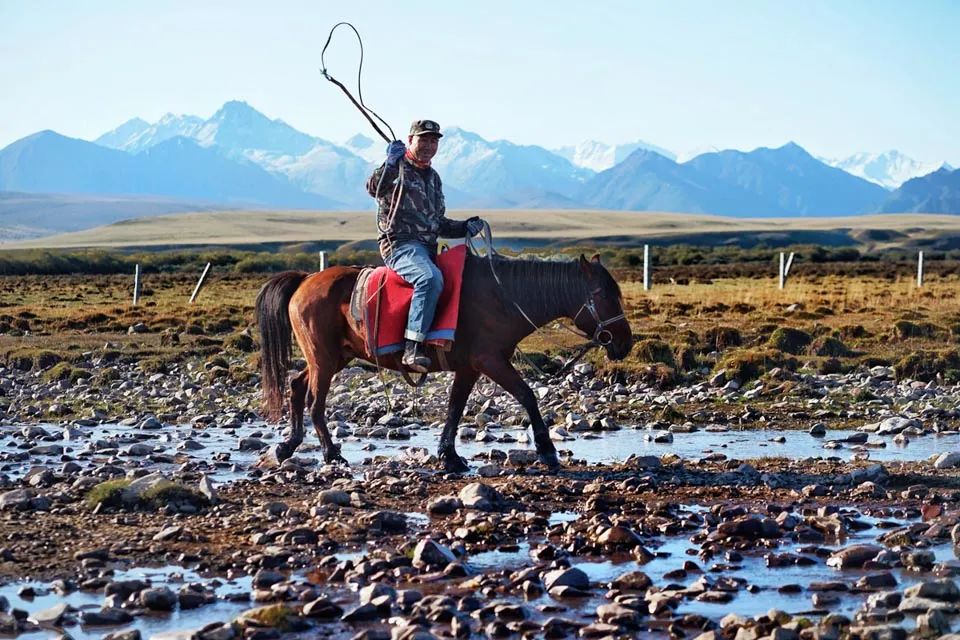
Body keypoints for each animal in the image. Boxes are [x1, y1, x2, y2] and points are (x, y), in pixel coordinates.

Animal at [255, 252, 632, 472]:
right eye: (604, 295)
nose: (625, 343)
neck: (504, 296)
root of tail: (305, 280)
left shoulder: (469, 367)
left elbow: (455, 408)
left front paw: (449, 456)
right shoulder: (490, 361)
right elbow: (527, 395)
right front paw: (547, 449)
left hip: (333, 357)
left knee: (296, 387)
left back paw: (287, 446)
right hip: (324, 357)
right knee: (315, 401)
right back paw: (331, 453)